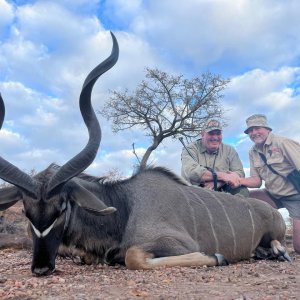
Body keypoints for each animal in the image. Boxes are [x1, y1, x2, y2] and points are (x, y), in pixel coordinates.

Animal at [0, 33, 290, 276]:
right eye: (25, 210)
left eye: (61, 208)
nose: (40, 268)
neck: (124, 208)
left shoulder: (177, 242)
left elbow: (133, 256)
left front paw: (217, 256)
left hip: (275, 230)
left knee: (278, 242)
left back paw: (277, 251)